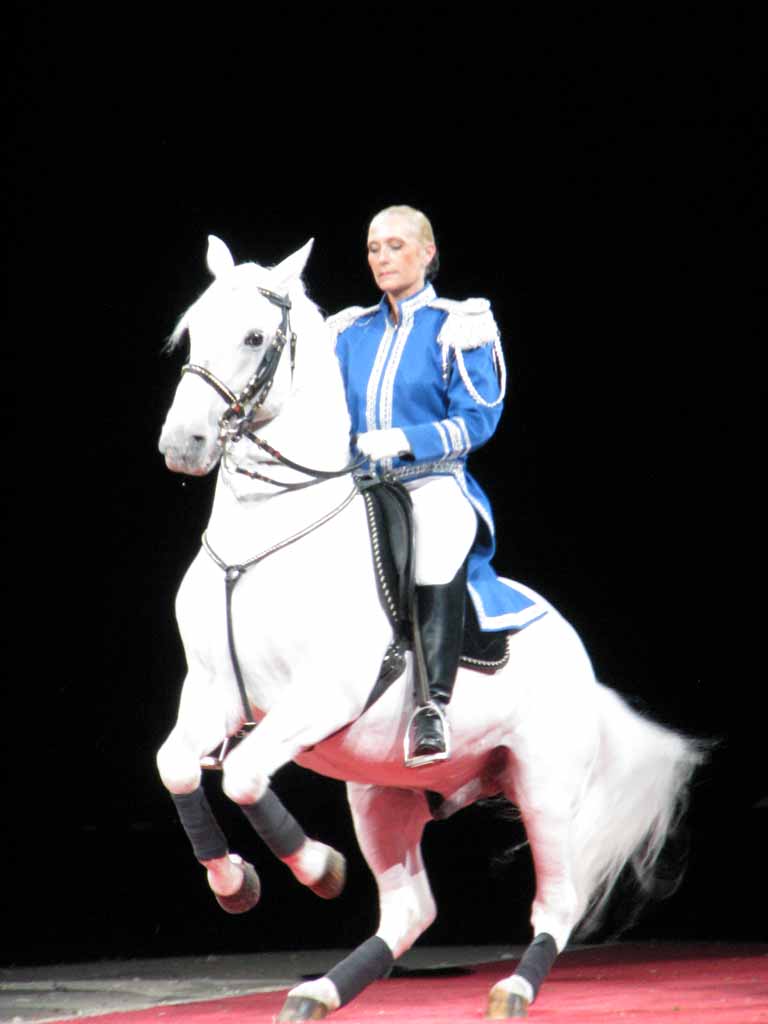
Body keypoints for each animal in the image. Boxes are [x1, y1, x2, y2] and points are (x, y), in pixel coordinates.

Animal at [159, 235, 708, 1019]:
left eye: (256, 337)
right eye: (193, 331)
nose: (184, 443)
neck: (260, 541)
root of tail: (579, 658)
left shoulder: (320, 696)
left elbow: (239, 774)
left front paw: (317, 867)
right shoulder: (215, 694)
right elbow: (179, 766)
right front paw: (239, 882)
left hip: (544, 784)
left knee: (558, 902)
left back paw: (514, 986)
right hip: (379, 792)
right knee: (410, 911)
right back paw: (322, 990)